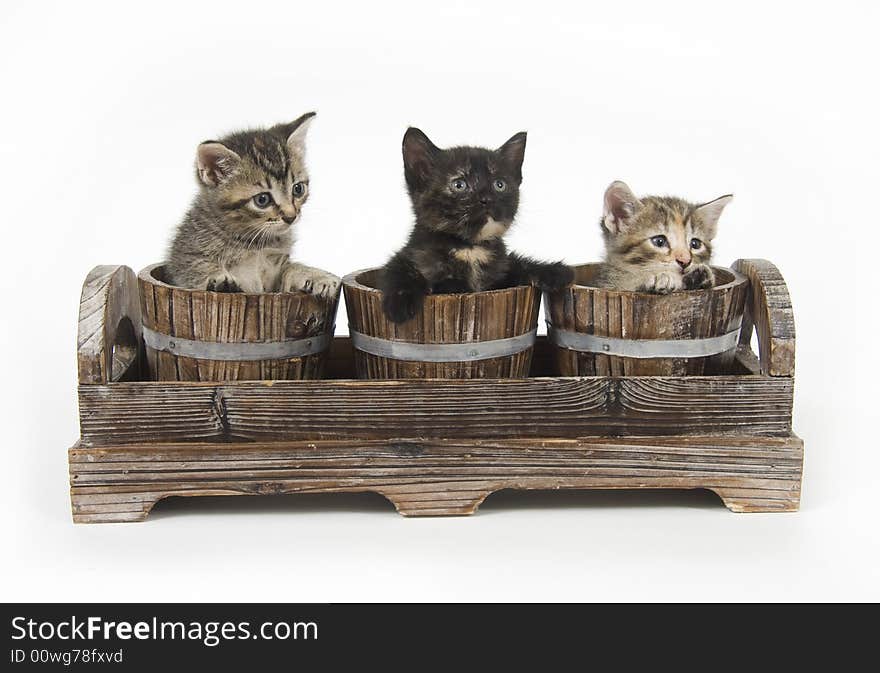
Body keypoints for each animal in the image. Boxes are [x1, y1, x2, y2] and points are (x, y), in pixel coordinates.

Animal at [165, 111, 340, 296]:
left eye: (298, 189)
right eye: (262, 200)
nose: (291, 217)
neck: (253, 242)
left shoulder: (274, 272)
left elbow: (291, 268)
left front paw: (317, 276)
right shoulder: (183, 258)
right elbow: (194, 267)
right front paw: (218, 278)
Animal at [380, 129, 576, 326]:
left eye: (499, 185)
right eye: (459, 184)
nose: (487, 199)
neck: (470, 248)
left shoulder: (499, 275)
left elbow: (517, 266)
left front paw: (552, 271)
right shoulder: (411, 254)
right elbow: (401, 270)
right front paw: (401, 302)